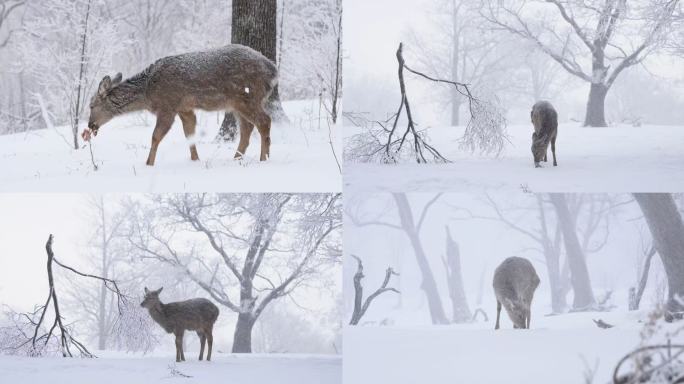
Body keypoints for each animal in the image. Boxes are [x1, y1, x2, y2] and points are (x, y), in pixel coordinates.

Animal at [85, 44, 278, 166]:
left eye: (91, 106)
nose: (90, 125)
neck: (148, 92)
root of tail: (273, 70)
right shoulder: (185, 108)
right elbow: (189, 134)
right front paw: (195, 160)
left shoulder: (168, 105)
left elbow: (155, 136)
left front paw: (148, 164)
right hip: (236, 103)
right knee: (247, 128)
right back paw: (237, 159)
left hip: (247, 96)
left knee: (264, 121)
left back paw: (264, 159)